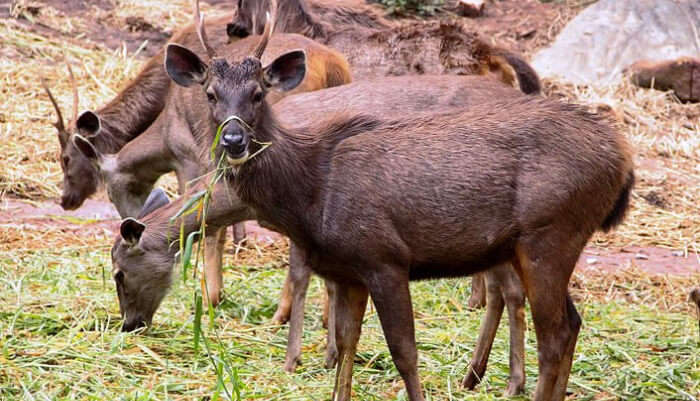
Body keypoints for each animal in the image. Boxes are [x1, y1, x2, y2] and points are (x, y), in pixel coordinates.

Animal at [110, 7, 636, 398]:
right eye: (211, 93)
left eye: (259, 93)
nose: (234, 140)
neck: (309, 190)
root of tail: (621, 158)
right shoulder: (346, 267)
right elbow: (348, 343)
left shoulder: (384, 257)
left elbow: (404, 351)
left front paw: (294, 355)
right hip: (525, 245)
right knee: (566, 322)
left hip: (550, 233)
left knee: (555, 332)